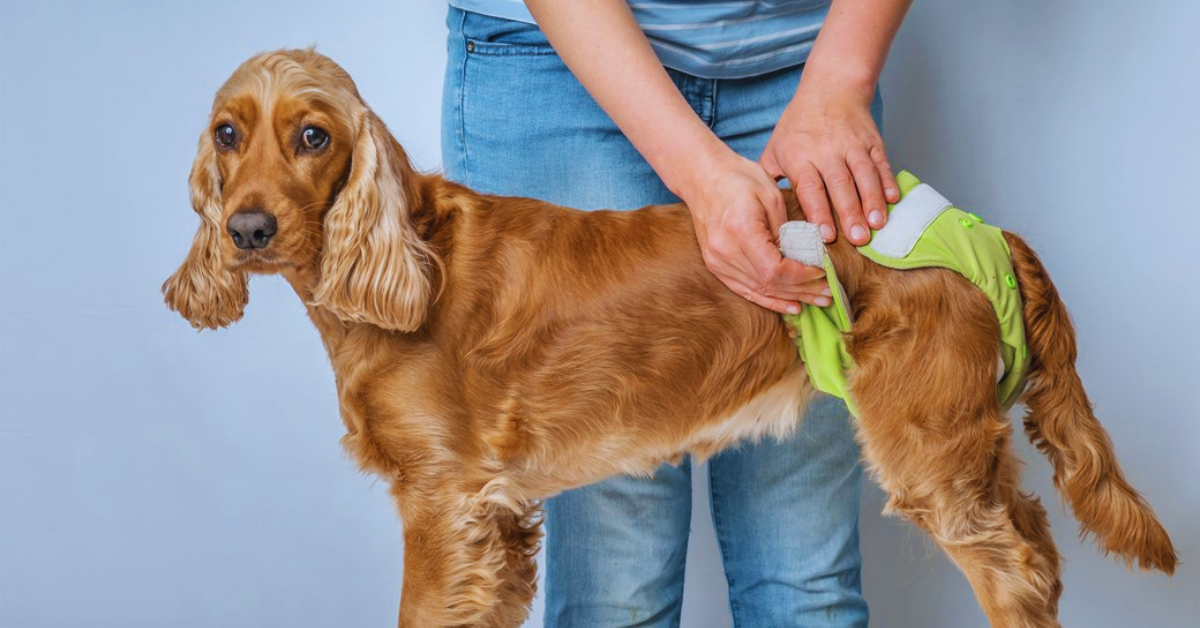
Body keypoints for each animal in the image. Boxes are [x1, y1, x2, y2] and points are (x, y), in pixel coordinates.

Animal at [164, 50, 1176, 628]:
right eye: (227, 133)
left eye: (312, 136)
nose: (247, 230)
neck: (406, 265)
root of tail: (982, 227)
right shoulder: (496, 520)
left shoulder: (443, 501)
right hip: (969, 442)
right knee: (1040, 543)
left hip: (930, 449)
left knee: (1019, 575)